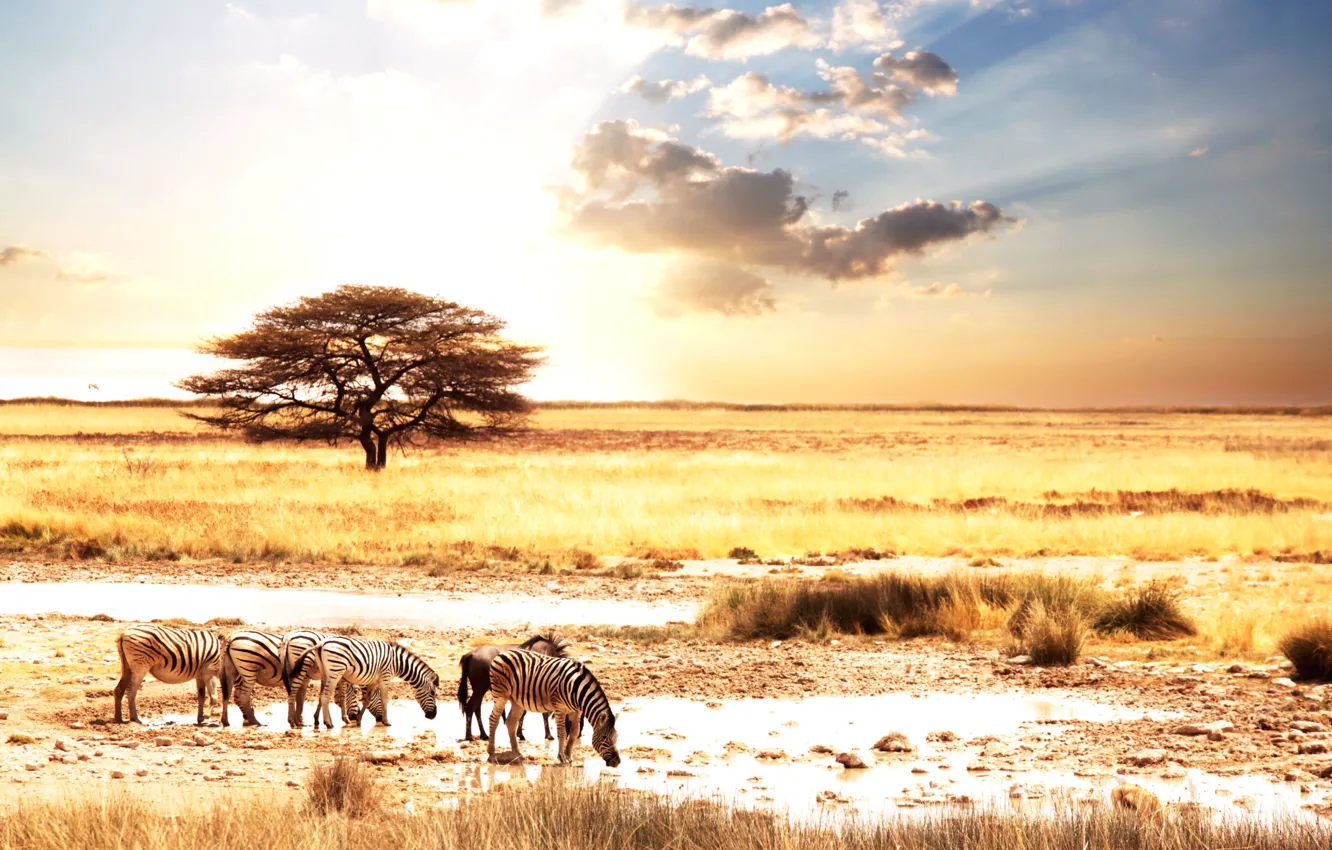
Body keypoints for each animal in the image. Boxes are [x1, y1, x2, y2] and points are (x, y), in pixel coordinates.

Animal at [221, 629, 377, 727]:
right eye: (357, 692)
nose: (354, 717)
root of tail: (231, 637)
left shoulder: (314, 675)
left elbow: (309, 697)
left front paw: (307, 719)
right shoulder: (336, 674)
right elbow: (341, 695)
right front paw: (344, 719)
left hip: (233, 670)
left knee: (229, 695)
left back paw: (227, 721)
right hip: (249, 669)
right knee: (242, 697)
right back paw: (255, 721)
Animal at [293, 637, 438, 729]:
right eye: (433, 693)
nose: (433, 716)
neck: (398, 663)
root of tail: (321, 644)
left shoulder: (374, 681)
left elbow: (367, 699)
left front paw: (358, 720)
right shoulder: (385, 677)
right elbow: (384, 699)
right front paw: (386, 721)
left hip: (325, 672)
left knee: (322, 695)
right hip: (335, 671)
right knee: (325, 696)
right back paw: (329, 723)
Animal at [486, 649, 620, 768]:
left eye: (617, 736)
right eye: (604, 738)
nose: (617, 762)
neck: (577, 690)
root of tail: (503, 653)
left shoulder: (576, 711)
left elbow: (574, 732)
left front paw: (569, 756)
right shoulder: (560, 708)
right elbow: (562, 733)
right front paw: (562, 757)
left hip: (517, 701)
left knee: (511, 722)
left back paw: (517, 754)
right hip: (500, 695)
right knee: (493, 719)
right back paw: (491, 752)